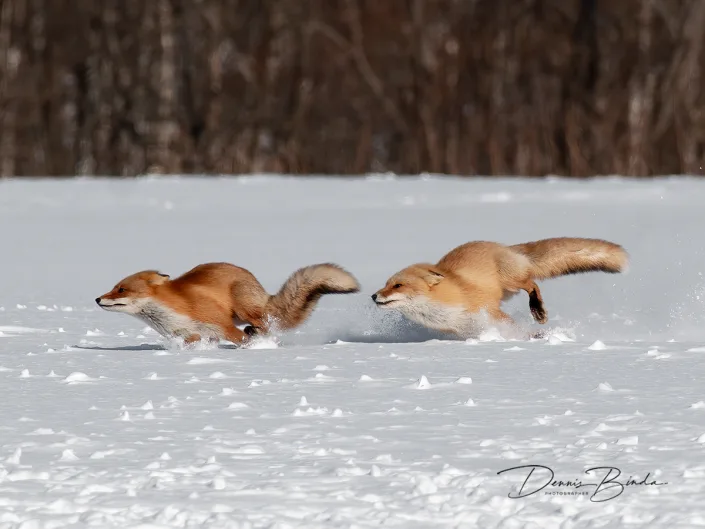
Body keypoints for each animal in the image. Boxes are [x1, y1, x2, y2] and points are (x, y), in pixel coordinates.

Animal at [96, 262, 360, 346]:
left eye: (121, 289)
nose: (97, 299)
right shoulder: (192, 336)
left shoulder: (223, 326)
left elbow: (241, 341)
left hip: (243, 309)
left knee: (264, 324)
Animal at [371, 237, 628, 338]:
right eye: (386, 284)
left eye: (398, 285)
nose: (373, 296)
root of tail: (504, 246)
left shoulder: (490, 311)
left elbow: (516, 329)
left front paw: (533, 336)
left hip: (509, 281)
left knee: (532, 283)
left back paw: (538, 311)